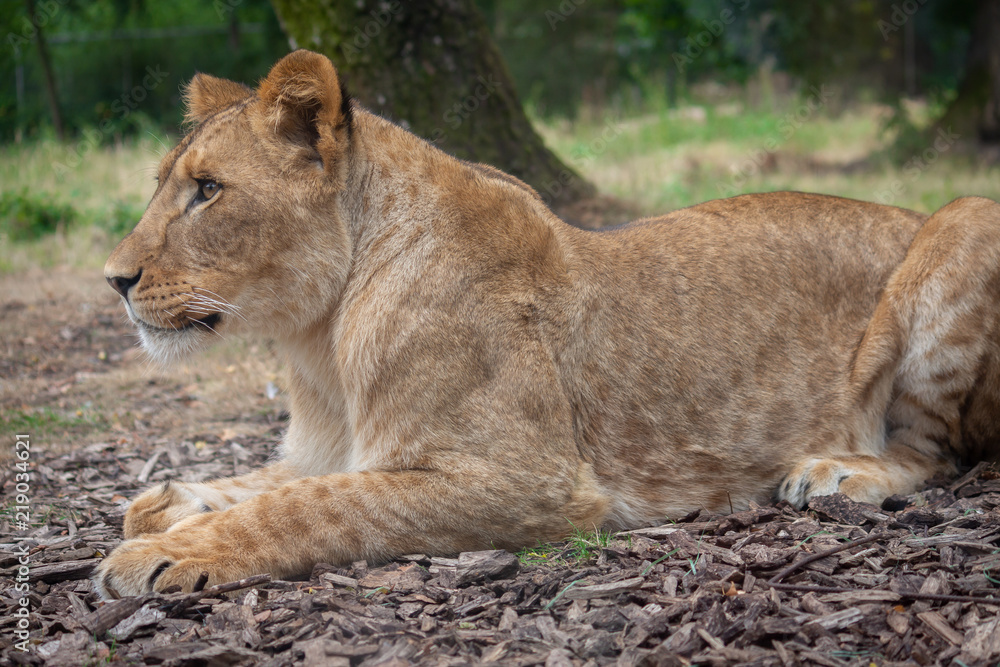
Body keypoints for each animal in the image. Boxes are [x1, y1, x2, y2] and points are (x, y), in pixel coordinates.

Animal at [96, 50, 1000, 598]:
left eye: (208, 190)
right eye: (167, 182)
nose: (114, 279)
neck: (319, 336)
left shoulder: (528, 480)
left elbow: (312, 508)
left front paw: (166, 551)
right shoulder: (330, 449)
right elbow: (263, 483)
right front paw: (169, 505)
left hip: (967, 217)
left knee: (939, 453)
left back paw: (840, 472)